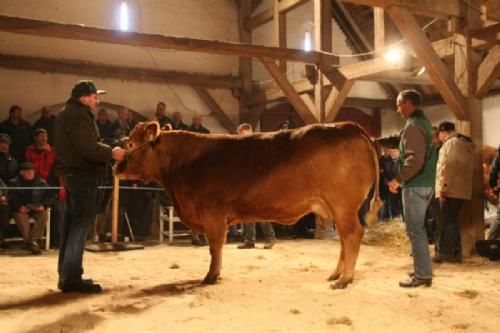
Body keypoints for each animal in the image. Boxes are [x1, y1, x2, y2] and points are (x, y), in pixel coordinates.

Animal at [116, 120, 382, 288]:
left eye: (130, 144)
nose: (116, 165)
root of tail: (349, 126)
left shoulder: (213, 214)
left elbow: (215, 246)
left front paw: (211, 276)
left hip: (344, 206)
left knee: (352, 235)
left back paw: (345, 279)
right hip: (337, 209)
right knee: (344, 240)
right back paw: (336, 274)